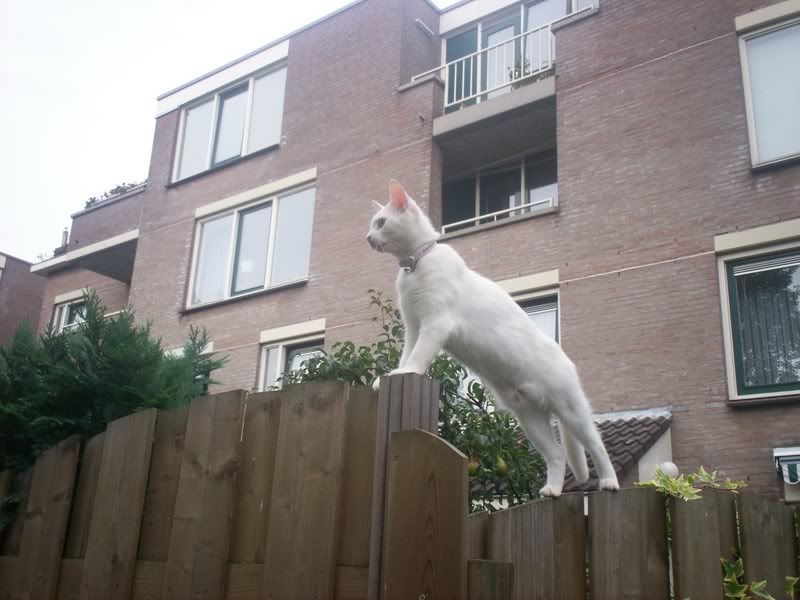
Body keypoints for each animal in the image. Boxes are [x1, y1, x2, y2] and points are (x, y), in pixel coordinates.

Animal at [366, 180, 620, 496]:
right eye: (372, 224)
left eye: (381, 222)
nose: (367, 237)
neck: (415, 264)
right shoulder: (413, 326)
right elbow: (407, 352)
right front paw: (389, 376)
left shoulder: (436, 323)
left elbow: (419, 355)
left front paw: (407, 372)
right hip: (530, 418)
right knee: (557, 454)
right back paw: (552, 490)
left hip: (571, 410)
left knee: (596, 444)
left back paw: (609, 481)